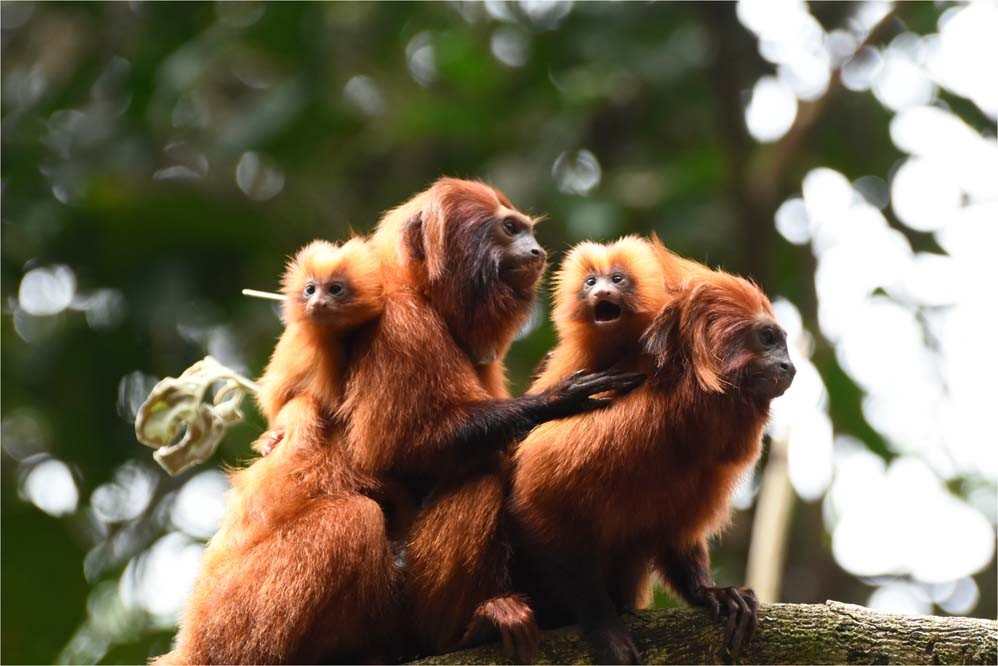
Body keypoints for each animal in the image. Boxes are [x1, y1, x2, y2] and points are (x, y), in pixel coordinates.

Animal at [340, 178, 644, 660]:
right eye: (510, 229)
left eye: (527, 231)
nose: (536, 250)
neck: (424, 295)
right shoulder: (400, 325)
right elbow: (397, 451)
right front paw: (556, 400)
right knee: (482, 476)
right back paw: (468, 630)